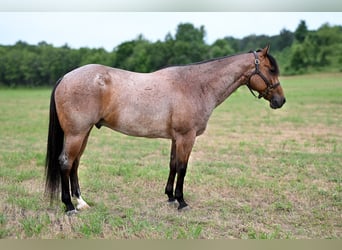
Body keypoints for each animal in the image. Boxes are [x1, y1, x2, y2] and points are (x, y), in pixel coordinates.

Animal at [44, 45, 286, 215]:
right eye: (270, 69)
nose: (280, 101)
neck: (195, 85)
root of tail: (65, 77)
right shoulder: (187, 137)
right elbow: (183, 168)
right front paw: (181, 201)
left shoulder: (176, 138)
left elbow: (173, 165)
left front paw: (170, 197)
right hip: (76, 134)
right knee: (65, 162)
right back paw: (69, 206)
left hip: (83, 134)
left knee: (75, 163)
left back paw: (81, 202)